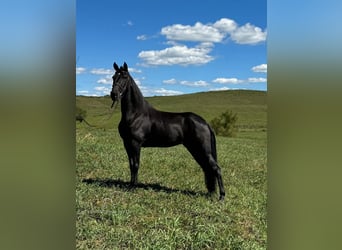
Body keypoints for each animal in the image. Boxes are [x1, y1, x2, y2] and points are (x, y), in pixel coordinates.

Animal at [111, 62, 226, 201]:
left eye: (125, 77)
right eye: (113, 77)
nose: (114, 94)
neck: (136, 114)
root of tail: (205, 123)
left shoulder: (135, 144)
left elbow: (136, 165)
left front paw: (133, 187)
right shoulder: (127, 144)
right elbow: (131, 165)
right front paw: (130, 185)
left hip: (203, 150)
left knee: (216, 169)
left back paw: (222, 197)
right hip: (195, 149)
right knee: (207, 168)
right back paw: (211, 193)